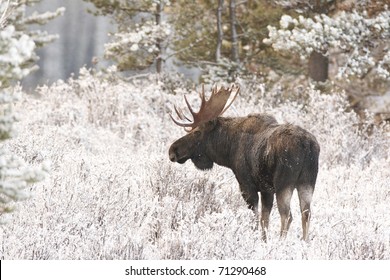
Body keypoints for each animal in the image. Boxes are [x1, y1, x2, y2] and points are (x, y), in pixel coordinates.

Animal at [168, 83, 320, 241]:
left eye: (197, 132)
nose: (172, 150)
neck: (228, 150)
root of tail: (307, 145)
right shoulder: (266, 189)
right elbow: (264, 220)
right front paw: (263, 241)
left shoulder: (247, 185)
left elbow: (255, 218)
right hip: (307, 181)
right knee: (306, 214)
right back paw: (305, 242)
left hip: (284, 183)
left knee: (287, 215)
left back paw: (281, 242)